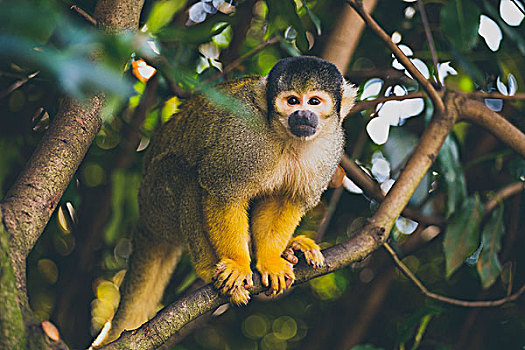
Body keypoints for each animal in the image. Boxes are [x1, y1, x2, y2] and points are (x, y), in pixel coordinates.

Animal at [96, 55, 354, 344]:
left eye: (314, 102)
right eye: (292, 101)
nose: (302, 115)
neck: (288, 138)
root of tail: (145, 221)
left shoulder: (331, 146)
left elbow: (286, 200)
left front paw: (269, 260)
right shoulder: (243, 137)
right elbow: (222, 190)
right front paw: (238, 264)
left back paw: (291, 248)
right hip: (156, 202)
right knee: (185, 175)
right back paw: (208, 268)